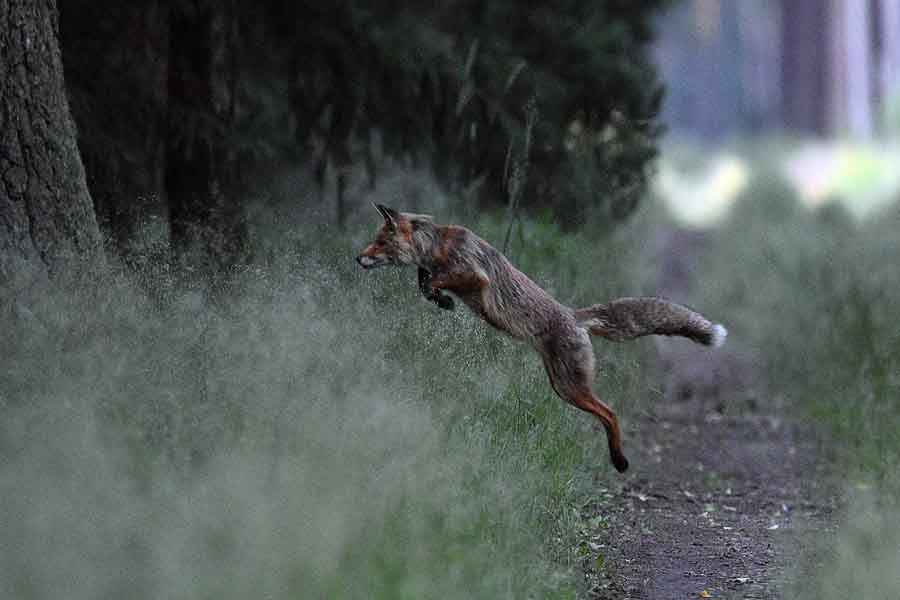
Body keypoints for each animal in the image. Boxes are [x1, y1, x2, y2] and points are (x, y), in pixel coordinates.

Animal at [356, 206, 728, 474]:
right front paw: (440, 300)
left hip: (568, 385)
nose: (357, 257)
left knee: (610, 412)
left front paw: (441, 296)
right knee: (606, 411)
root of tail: (575, 317)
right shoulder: (436, 271)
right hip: (561, 384)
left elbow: (435, 280)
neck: (437, 246)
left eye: (380, 242)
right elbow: (423, 281)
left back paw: (619, 461)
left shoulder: (474, 275)